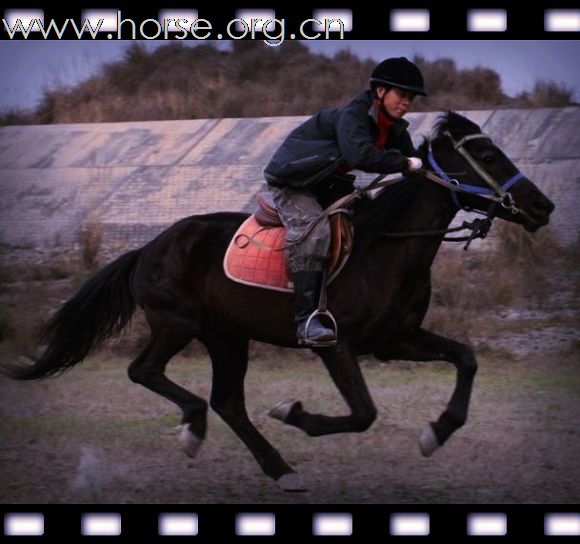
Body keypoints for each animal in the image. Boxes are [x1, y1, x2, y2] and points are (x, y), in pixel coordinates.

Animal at [5, 111, 556, 492]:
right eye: (488, 157)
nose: (542, 206)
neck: (387, 248)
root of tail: (148, 248)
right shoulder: (335, 343)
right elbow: (363, 413)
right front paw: (293, 413)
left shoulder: (395, 340)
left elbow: (465, 358)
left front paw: (436, 433)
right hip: (177, 323)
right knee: (147, 373)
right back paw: (194, 429)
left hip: (227, 336)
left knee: (227, 401)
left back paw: (278, 468)